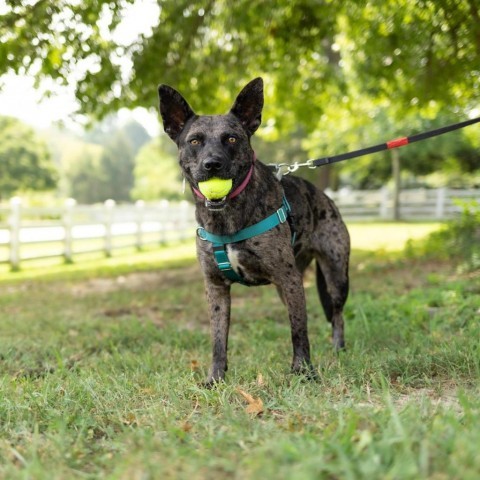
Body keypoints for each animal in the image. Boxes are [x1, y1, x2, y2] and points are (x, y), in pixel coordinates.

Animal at [159, 79, 350, 386]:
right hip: (289, 288)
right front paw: (215, 379)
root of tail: (325, 198)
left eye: (231, 139)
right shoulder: (216, 288)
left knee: (337, 314)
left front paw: (303, 371)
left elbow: (299, 331)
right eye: (195, 141)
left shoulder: (290, 280)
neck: (226, 219)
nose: (212, 164)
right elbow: (217, 340)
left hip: (335, 278)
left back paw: (338, 349)